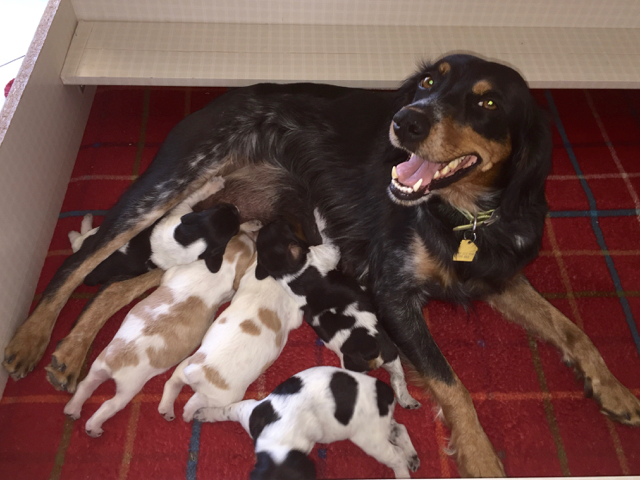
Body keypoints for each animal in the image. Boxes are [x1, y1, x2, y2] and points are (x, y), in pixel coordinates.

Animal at [62, 222, 258, 438]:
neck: (226, 261)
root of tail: (115, 361)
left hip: (98, 368)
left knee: (84, 387)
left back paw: (72, 410)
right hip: (127, 390)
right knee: (108, 406)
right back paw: (94, 427)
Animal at [157, 260, 302, 422]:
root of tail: (198, 372)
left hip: (184, 366)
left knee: (172, 383)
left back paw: (166, 409)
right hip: (222, 398)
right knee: (194, 401)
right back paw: (188, 415)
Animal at [194, 366, 420, 478]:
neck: (279, 441)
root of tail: (384, 392)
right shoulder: (248, 411)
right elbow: (225, 410)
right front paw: (206, 413)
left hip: (369, 438)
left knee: (395, 455)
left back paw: (403, 471)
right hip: (381, 426)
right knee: (400, 429)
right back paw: (412, 456)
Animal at [254, 219, 420, 410]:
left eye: (276, 227)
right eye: (283, 228)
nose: (276, 220)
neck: (292, 273)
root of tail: (369, 350)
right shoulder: (329, 253)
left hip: (387, 357)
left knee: (397, 380)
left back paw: (407, 401)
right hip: (388, 351)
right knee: (398, 378)